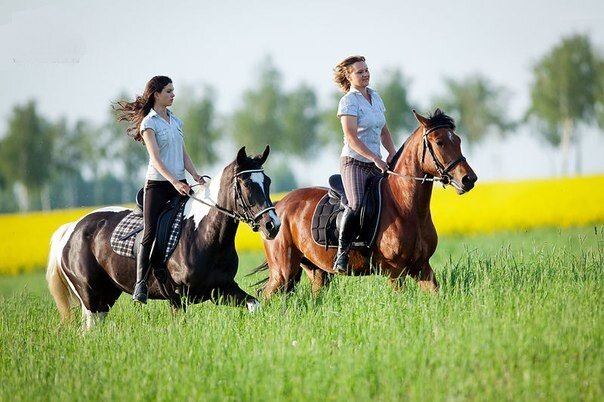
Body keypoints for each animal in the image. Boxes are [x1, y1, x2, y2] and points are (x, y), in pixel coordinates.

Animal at [47, 146, 280, 328]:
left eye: (268, 182)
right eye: (247, 184)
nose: (272, 225)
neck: (202, 235)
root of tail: (73, 228)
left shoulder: (220, 289)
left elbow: (255, 305)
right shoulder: (177, 298)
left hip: (106, 297)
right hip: (91, 298)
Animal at [258, 110, 476, 298]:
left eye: (458, 140)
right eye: (439, 142)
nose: (469, 179)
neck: (407, 208)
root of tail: (279, 205)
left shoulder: (422, 267)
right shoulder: (395, 272)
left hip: (316, 271)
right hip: (282, 271)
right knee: (265, 295)